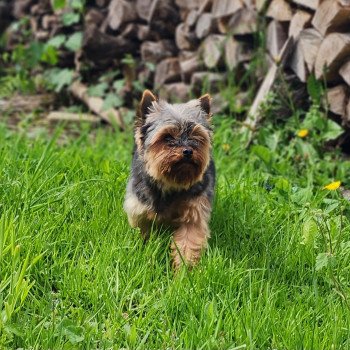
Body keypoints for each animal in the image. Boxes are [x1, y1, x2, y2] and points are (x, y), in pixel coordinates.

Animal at [124, 89, 215, 268]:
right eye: (167, 137)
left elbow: (188, 243)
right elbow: (143, 231)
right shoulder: (139, 209)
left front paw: (184, 271)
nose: (187, 151)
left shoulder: (194, 213)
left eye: (196, 136)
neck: (171, 183)